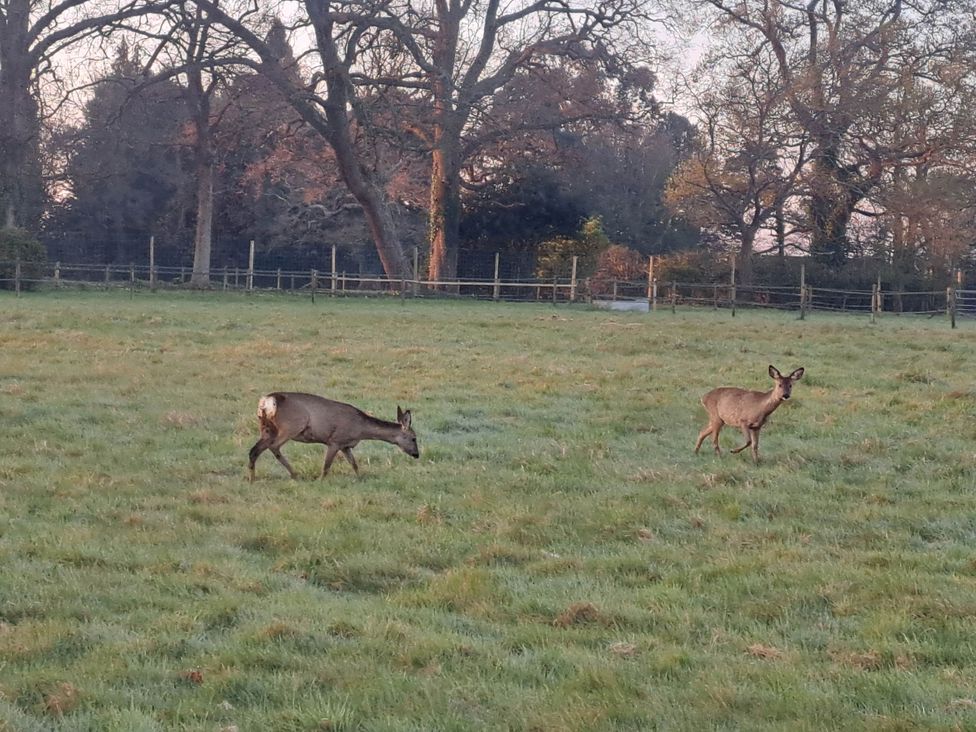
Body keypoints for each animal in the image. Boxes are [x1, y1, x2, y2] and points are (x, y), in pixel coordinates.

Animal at [248, 392, 419, 480]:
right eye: (414, 438)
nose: (417, 454)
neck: (361, 429)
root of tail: (267, 400)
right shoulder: (334, 440)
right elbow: (326, 466)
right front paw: (320, 480)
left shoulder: (345, 445)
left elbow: (354, 464)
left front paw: (360, 478)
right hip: (291, 425)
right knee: (274, 447)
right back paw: (295, 475)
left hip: (266, 428)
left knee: (254, 450)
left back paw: (252, 479)